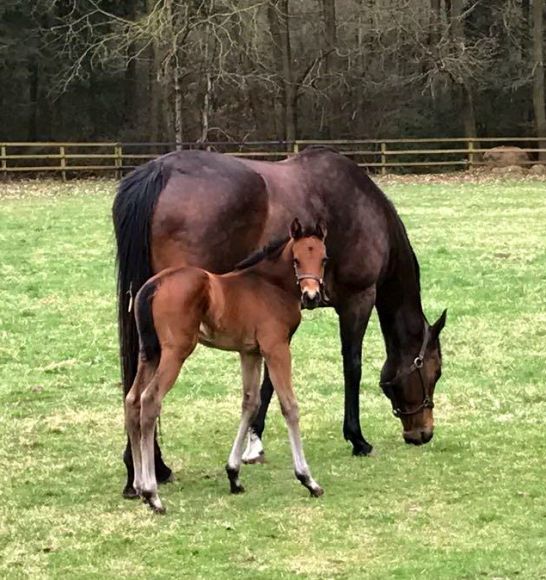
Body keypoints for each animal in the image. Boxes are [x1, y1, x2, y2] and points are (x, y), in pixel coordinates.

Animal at [125, 219, 326, 512]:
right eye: (296, 260)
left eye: (323, 259)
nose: (311, 296)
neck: (270, 285)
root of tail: (156, 283)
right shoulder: (276, 348)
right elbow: (290, 406)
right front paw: (308, 479)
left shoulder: (250, 352)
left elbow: (250, 403)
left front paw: (234, 475)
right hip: (175, 353)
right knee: (150, 400)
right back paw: (153, 494)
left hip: (150, 353)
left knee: (132, 400)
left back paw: (140, 486)